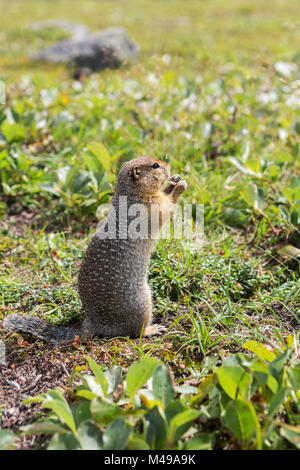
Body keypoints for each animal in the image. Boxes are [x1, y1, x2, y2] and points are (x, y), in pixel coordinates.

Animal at [3, 156, 188, 344]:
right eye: (155, 165)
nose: (169, 165)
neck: (131, 193)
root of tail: (93, 324)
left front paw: (174, 181)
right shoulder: (150, 205)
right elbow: (166, 207)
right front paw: (179, 187)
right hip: (141, 302)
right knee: (135, 332)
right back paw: (153, 329)